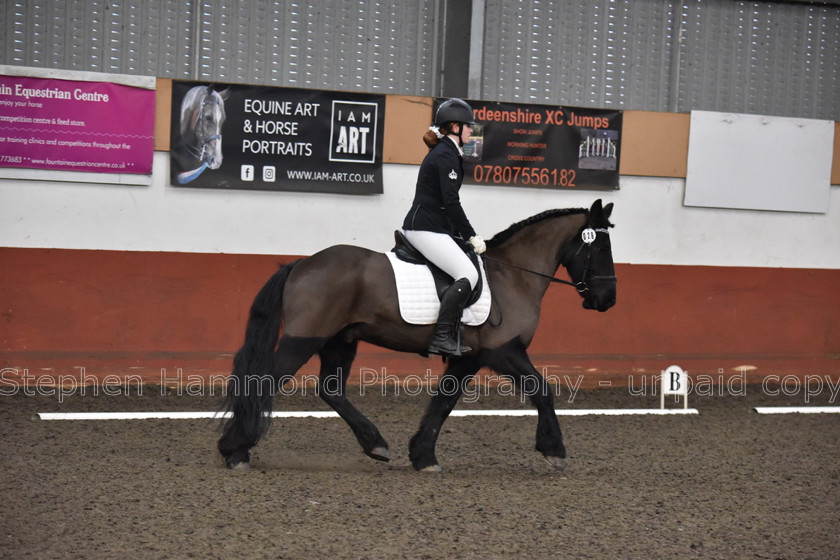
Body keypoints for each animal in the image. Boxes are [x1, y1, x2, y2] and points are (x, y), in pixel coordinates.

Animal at [218, 199, 616, 470]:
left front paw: (423, 455)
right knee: (264, 381)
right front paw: (554, 450)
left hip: (340, 340)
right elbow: (542, 390)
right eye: (600, 247)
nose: (608, 300)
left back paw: (375, 444)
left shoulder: (469, 358)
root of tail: (301, 263)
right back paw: (235, 450)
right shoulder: (506, 351)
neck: (513, 274)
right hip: (304, 339)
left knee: (330, 389)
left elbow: (443, 403)